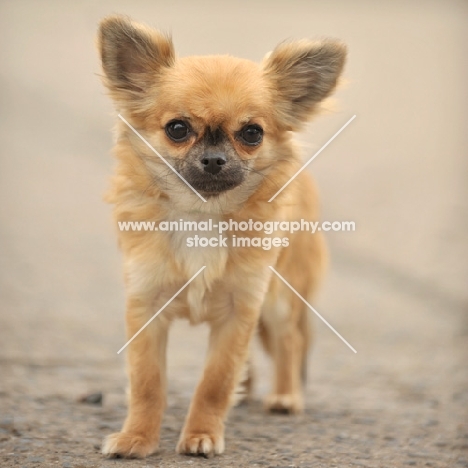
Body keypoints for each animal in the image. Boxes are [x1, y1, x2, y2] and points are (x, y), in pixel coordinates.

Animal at [98, 13, 344, 458]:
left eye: (252, 134)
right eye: (177, 129)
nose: (214, 159)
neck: (203, 214)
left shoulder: (239, 309)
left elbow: (215, 380)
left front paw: (202, 434)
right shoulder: (146, 306)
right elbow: (147, 382)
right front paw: (137, 438)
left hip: (280, 296)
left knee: (289, 342)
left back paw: (285, 396)